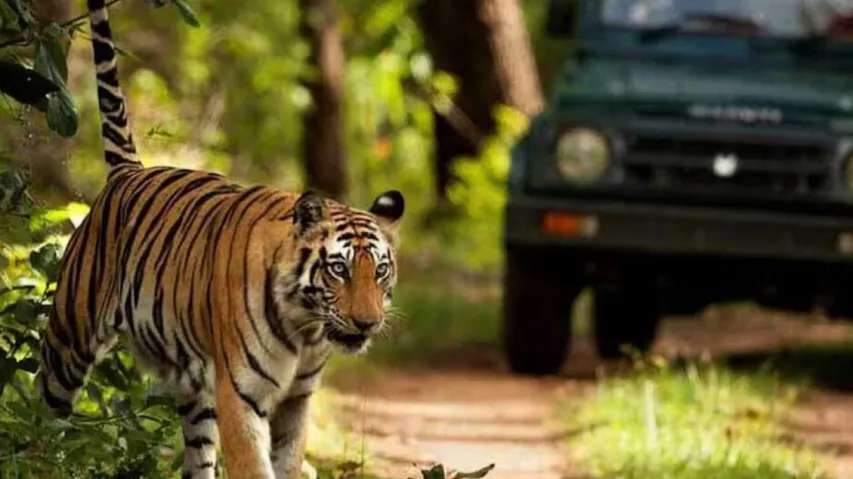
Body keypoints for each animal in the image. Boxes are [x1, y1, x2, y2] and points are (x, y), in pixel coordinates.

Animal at [34, 0, 405, 478]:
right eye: (338, 269)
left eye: (380, 271)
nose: (367, 323)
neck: (306, 329)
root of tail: (128, 172)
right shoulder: (241, 393)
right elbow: (253, 465)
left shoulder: (297, 399)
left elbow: (288, 461)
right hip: (69, 340)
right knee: (41, 414)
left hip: (196, 392)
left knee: (197, 457)